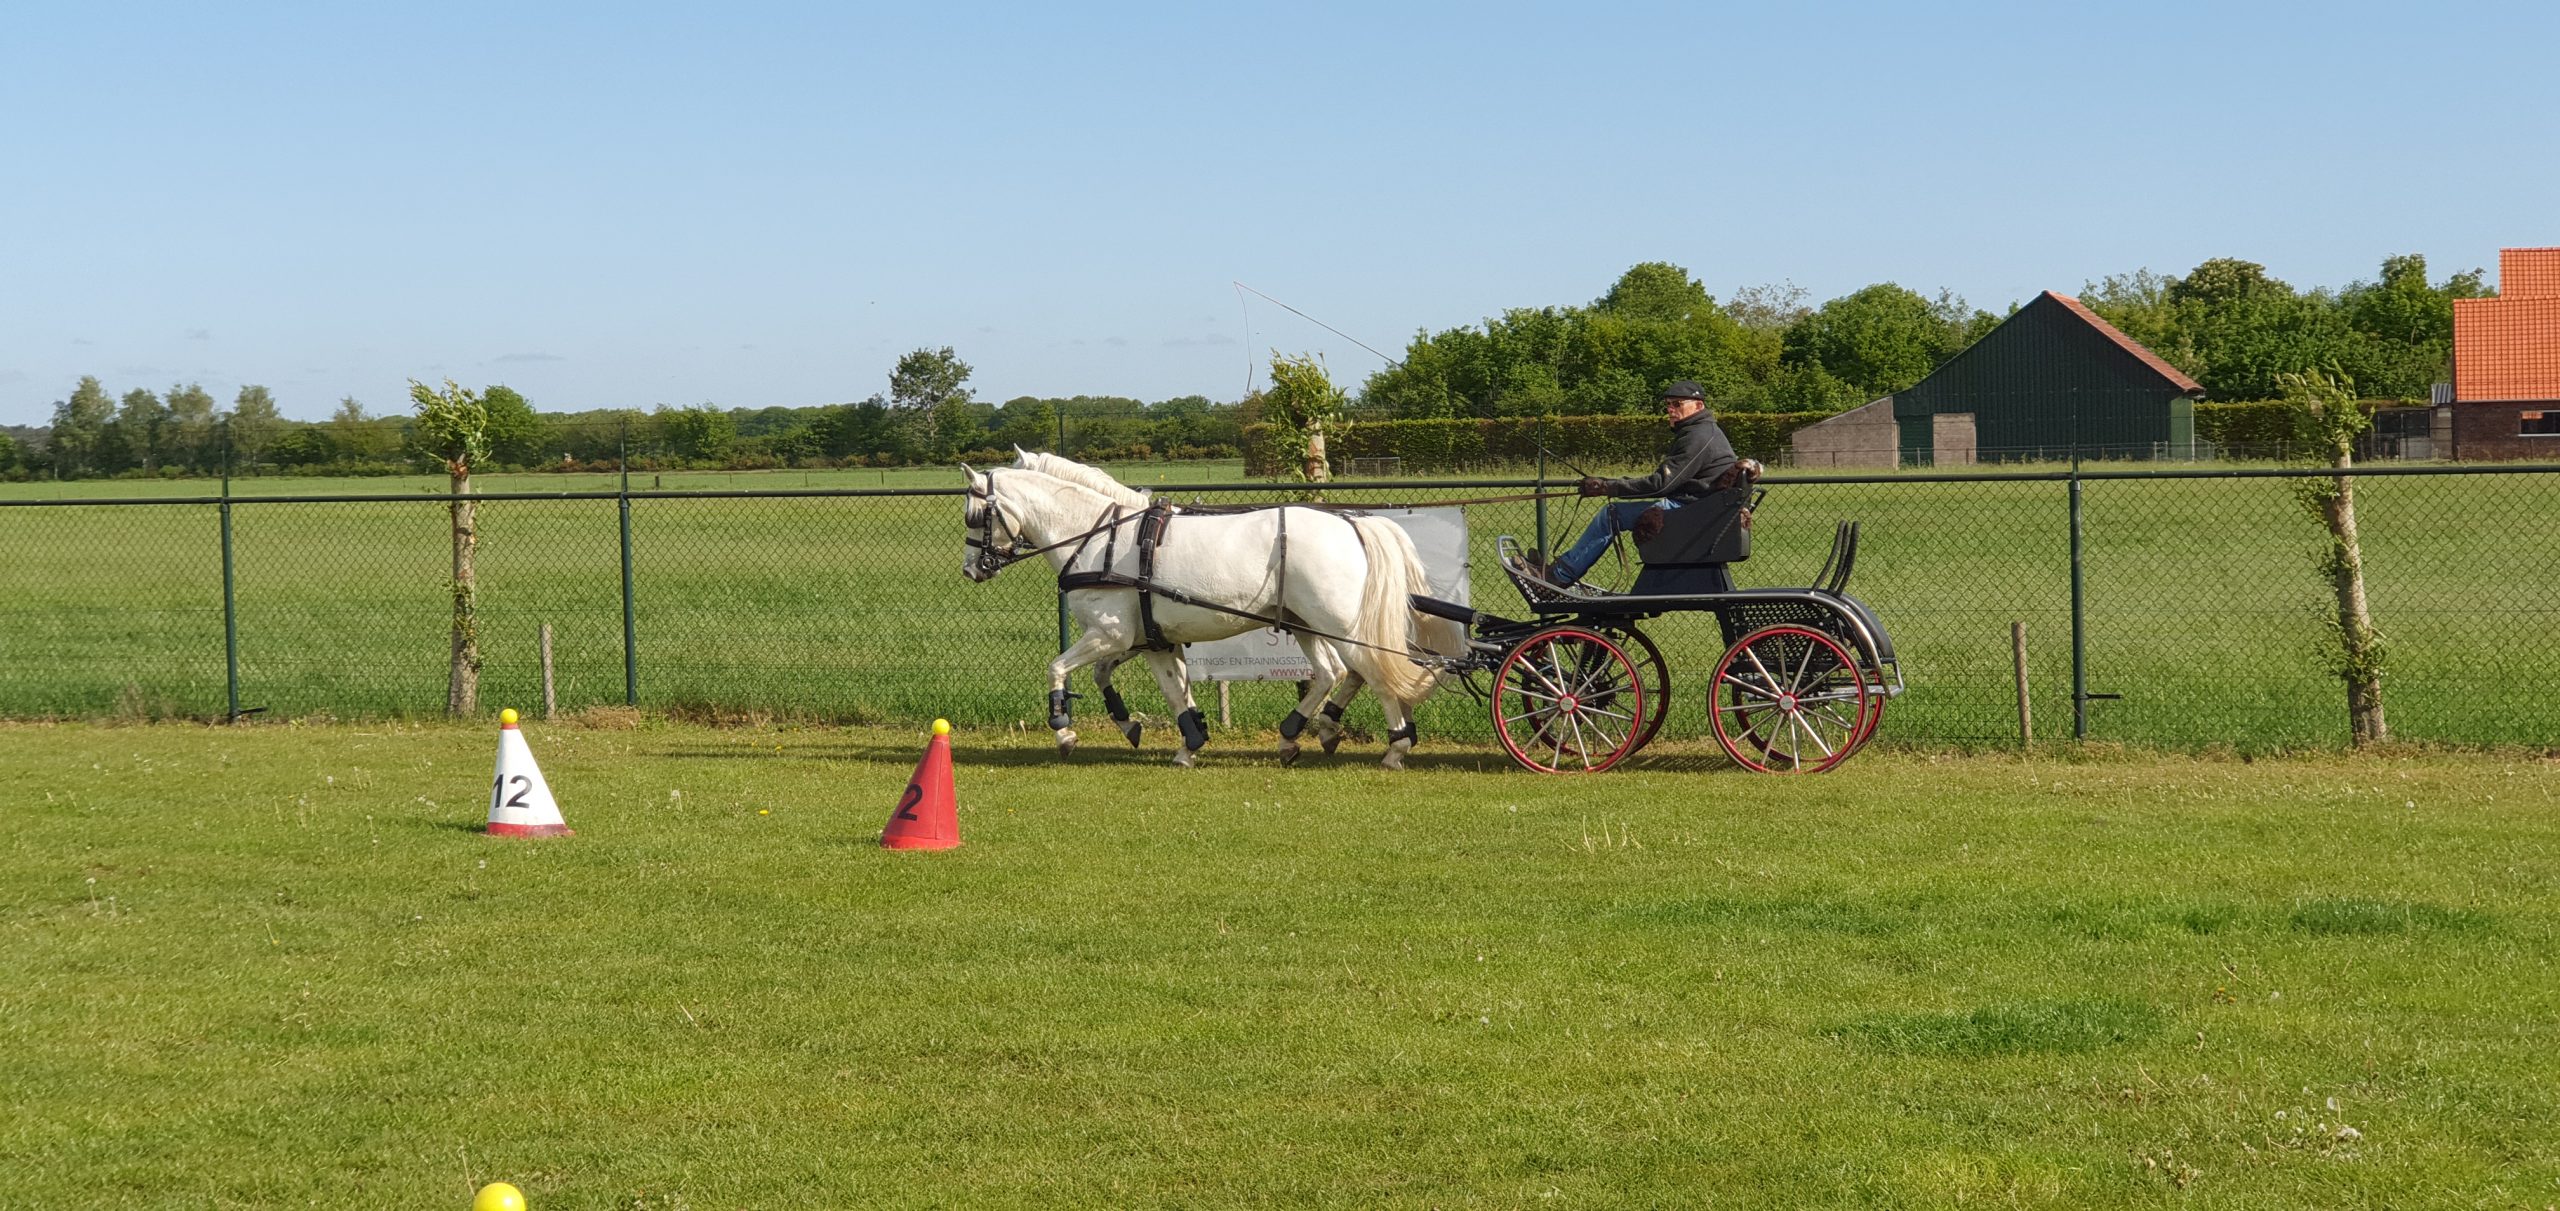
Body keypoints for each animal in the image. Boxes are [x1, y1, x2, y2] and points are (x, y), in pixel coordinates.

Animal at [962, 463, 1464, 762]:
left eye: (974, 516)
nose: (971, 569)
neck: (1102, 540)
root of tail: (1352, 523)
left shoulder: (1109, 634)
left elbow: (1057, 667)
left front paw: (1063, 731)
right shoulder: (1147, 640)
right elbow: (1166, 690)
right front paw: (1180, 738)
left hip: (1338, 624)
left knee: (1373, 673)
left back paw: (1395, 747)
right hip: (1305, 623)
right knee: (1331, 673)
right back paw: (1298, 735)